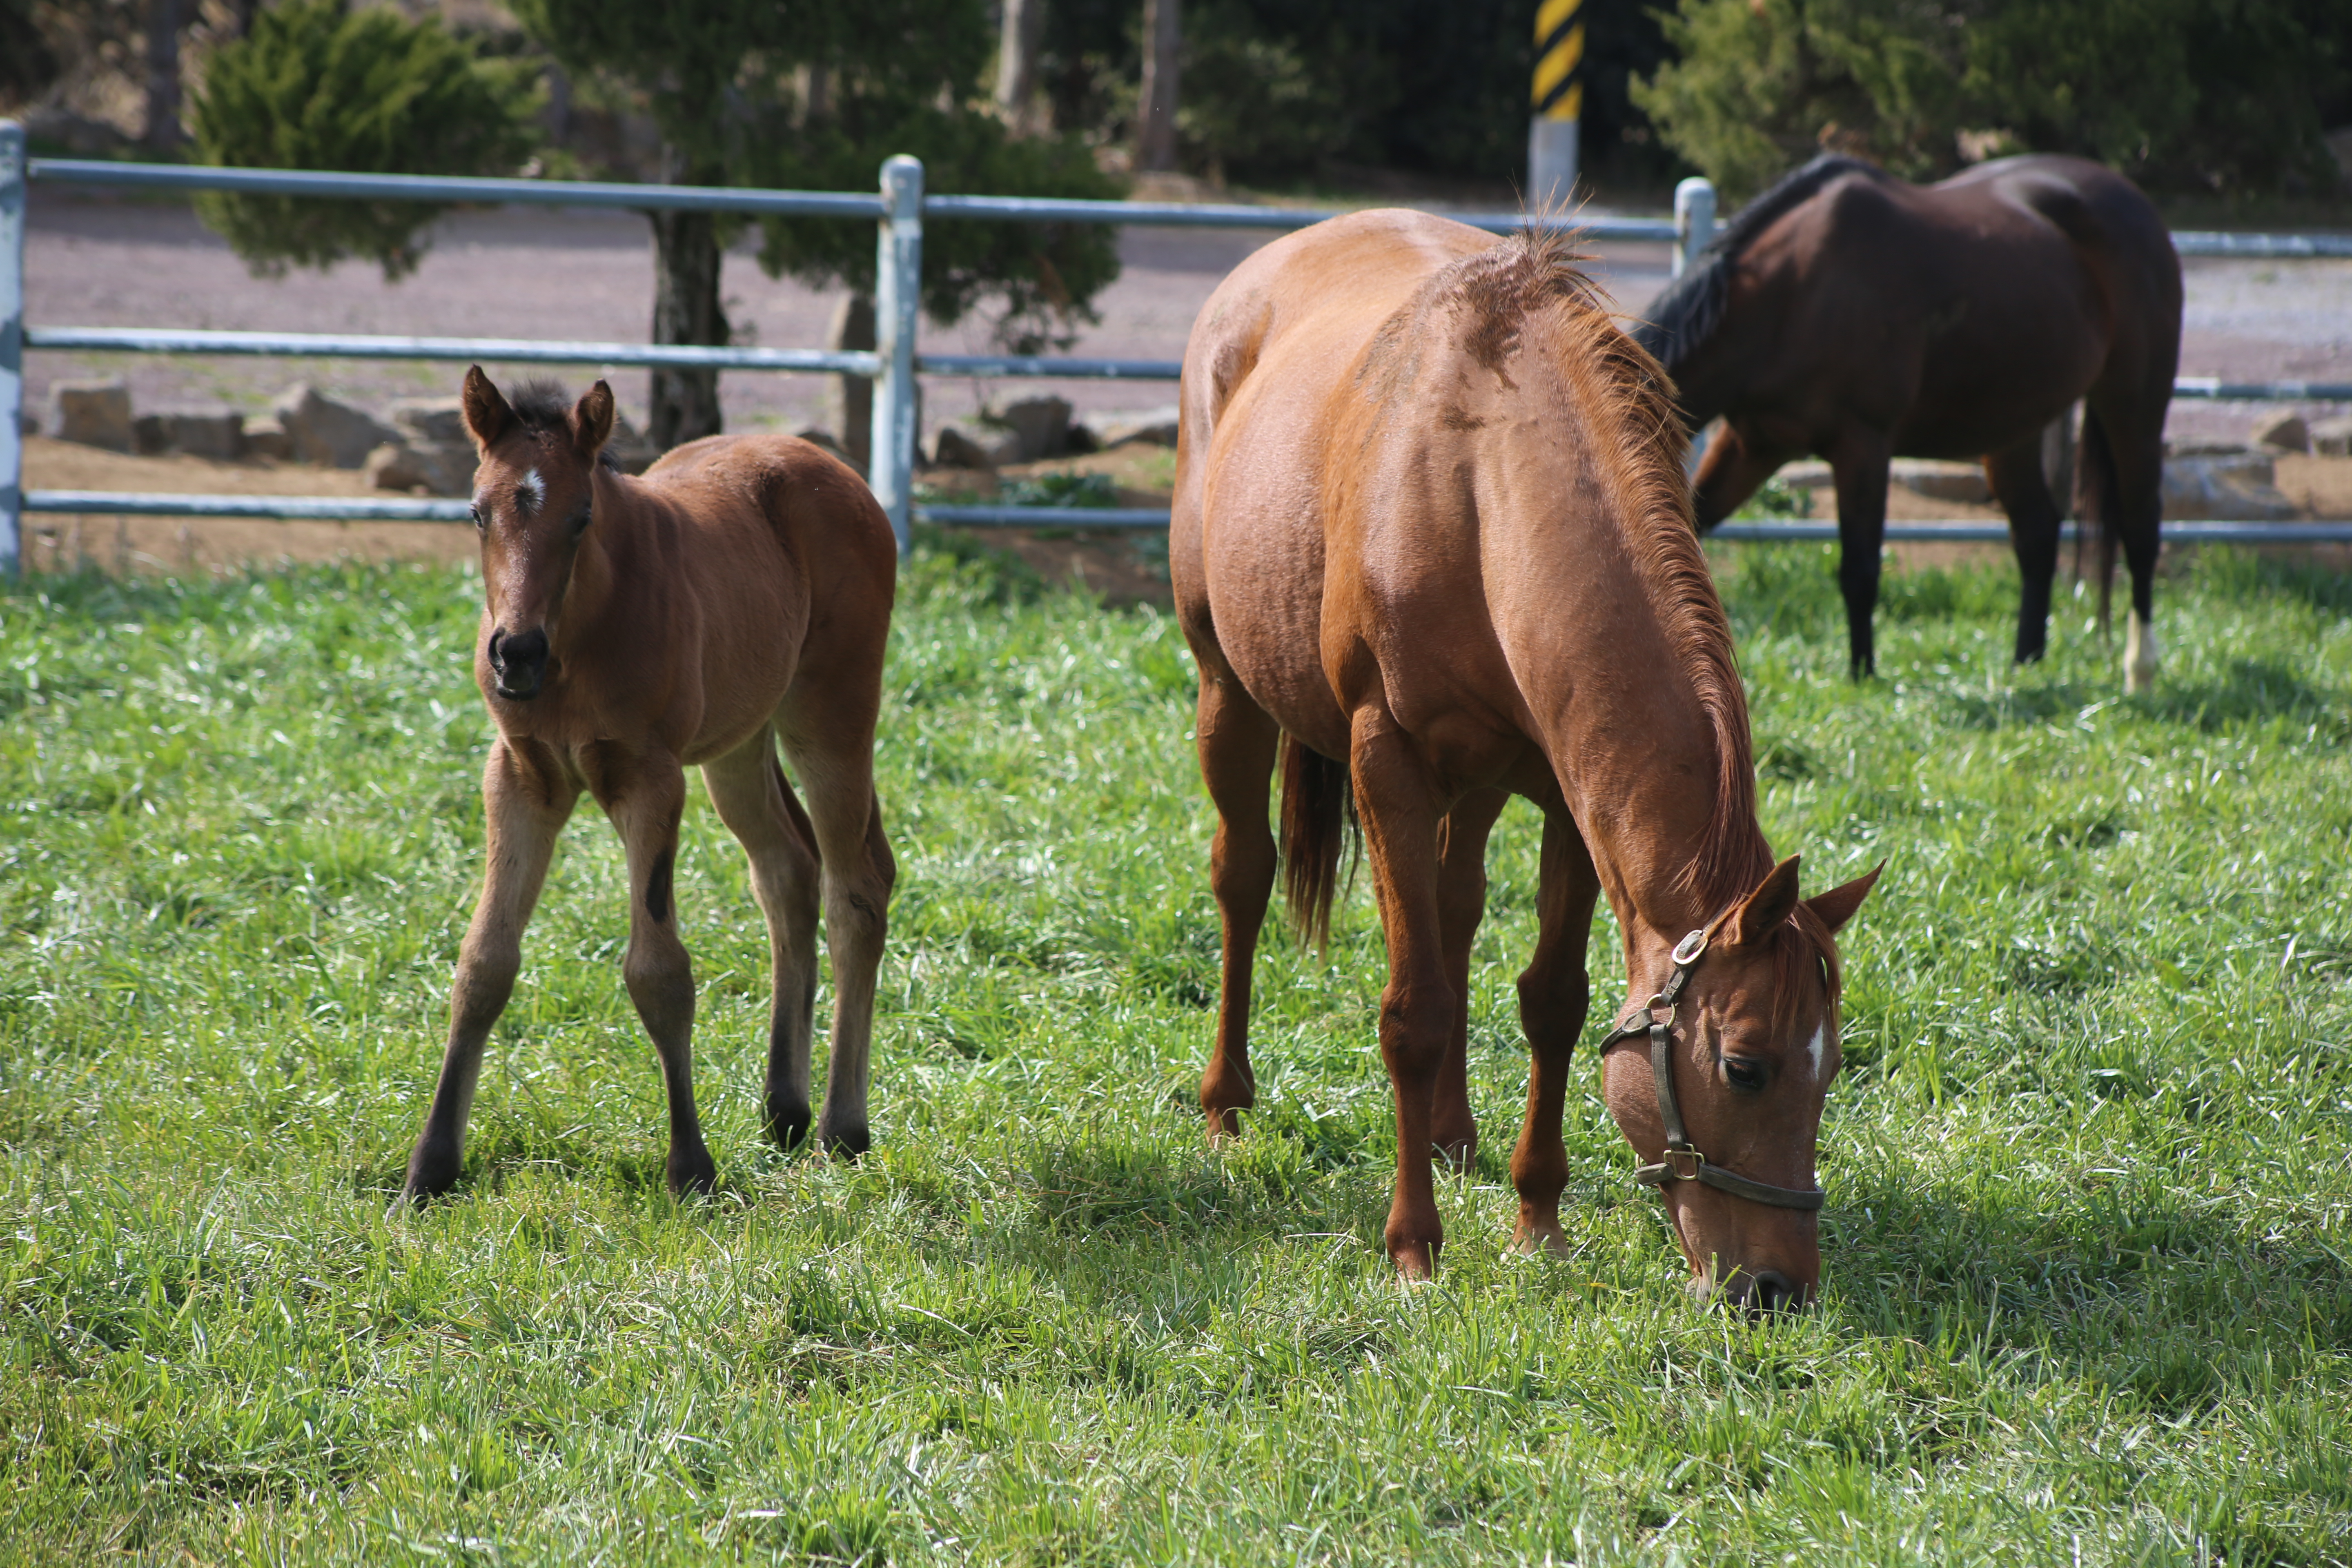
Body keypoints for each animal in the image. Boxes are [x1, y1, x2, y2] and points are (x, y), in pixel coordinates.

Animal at [395, 369, 889, 1203]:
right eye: (476, 512)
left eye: (582, 516)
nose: (515, 654)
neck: (577, 644)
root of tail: (838, 473)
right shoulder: (519, 776)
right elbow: (484, 962)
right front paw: (430, 1168)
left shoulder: (651, 783)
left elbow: (658, 971)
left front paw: (690, 1167)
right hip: (740, 742)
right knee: (788, 872)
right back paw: (783, 1110)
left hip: (831, 720)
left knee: (855, 890)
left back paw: (840, 1128)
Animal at [1185, 215, 1882, 1307]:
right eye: (1745, 1067)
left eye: (1834, 1066)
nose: (1776, 1289)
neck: (1478, 487)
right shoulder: (1385, 762)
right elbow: (1414, 1009)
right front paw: (1413, 1247)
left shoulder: (1566, 792)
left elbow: (1551, 1002)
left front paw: (1537, 1221)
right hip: (1227, 686)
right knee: (1244, 876)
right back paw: (1226, 1105)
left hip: (1471, 785)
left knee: (1453, 906)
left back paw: (1450, 1133)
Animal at [1637, 156, 2183, 691]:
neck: (1789, 296)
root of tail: (2140, 206)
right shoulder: (1754, 443)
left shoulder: (1864, 444)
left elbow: (1860, 571)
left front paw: (1863, 676)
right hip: (2014, 426)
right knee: (2038, 533)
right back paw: (2026, 665)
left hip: (2132, 406)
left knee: (2140, 531)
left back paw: (2141, 672)